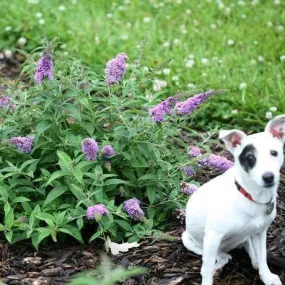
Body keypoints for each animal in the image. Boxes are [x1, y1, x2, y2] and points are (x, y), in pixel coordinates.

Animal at [182, 114, 284, 282]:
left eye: (274, 153)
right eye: (250, 157)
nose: (268, 177)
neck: (251, 197)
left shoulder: (260, 232)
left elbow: (263, 256)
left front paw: (267, 277)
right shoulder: (212, 236)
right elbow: (206, 269)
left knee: (246, 246)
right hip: (192, 241)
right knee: (222, 256)